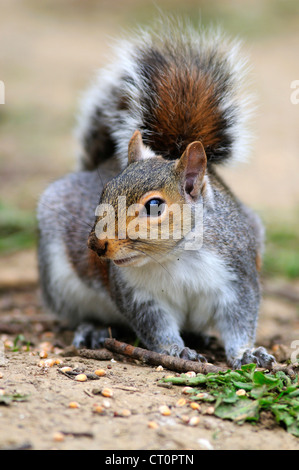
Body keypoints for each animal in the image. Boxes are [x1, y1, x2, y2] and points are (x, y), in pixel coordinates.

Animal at [37, 18, 276, 370]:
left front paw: (247, 352)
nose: (96, 245)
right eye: (104, 192)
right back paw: (93, 329)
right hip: (61, 279)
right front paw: (177, 351)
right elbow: (156, 327)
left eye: (154, 206)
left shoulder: (238, 277)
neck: (175, 256)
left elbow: (240, 321)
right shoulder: (138, 295)